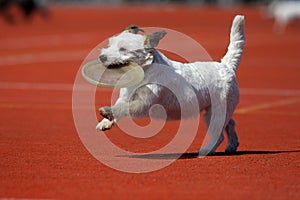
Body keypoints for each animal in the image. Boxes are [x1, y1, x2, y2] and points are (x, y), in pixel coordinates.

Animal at [95, 15, 245, 155]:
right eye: (110, 44)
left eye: (123, 49)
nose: (102, 57)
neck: (145, 70)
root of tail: (226, 65)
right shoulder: (125, 97)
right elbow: (119, 106)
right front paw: (105, 122)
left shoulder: (143, 103)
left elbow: (123, 108)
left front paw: (107, 112)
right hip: (220, 111)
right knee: (231, 123)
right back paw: (232, 145)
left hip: (216, 112)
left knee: (218, 135)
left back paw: (207, 149)